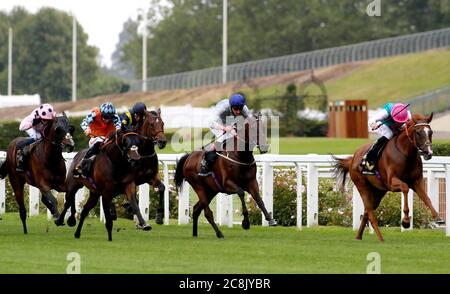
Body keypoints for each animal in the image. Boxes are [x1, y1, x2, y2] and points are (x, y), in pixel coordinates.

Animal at [332, 113, 442, 241]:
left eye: (431, 132)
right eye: (418, 132)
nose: (428, 153)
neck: (406, 153)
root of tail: (353, 158)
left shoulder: (417, 181)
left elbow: (426, 198)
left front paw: (438, 217)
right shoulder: (392, 182)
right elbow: (405, 188)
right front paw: (405, 221)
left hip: (378, 191)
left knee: (367, 212)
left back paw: (359, 236)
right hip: (362, 186)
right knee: (370, 212)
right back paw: (380, 238)